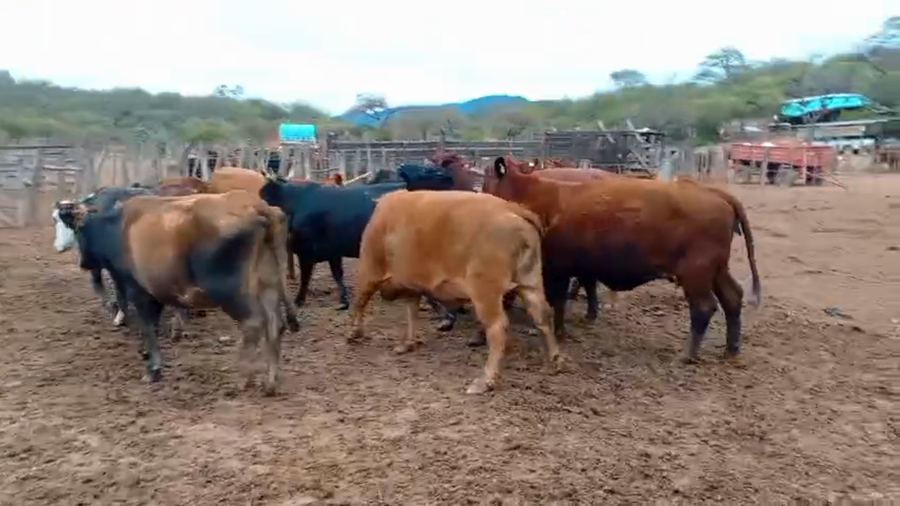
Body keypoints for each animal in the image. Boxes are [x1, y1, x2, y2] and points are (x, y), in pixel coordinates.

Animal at [57, 190, 300, 394]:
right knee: (274, 325)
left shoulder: (139, 291)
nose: (83, 263)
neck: (117, 226)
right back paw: (270, 382)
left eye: (77, 230)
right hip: (268, 286)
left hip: (230, 292)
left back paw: (243, 379)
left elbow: (148, 327)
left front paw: (153, 368)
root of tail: (260, 207)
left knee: (253, 324)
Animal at [349, 189, 560, 394]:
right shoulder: (413, 286)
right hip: (530, 283)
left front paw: (354, 333)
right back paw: (555, 362)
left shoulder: (369, 271)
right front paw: (406, 344)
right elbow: (411, 313)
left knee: (497, 328)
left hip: (485, 292)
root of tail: (511, 208)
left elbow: (360, 301)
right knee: (542, 316)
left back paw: (484, 382)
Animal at [483, 156, 762, 362]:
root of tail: (717, 195)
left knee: (704, 307)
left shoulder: (555, 269)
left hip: (696, 273)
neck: (530, 194)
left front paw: (556, 333)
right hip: (717, 270)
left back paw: (686, 355)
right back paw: (730, 350)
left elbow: (556, 301)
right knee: (732, 299)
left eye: (487, 182)